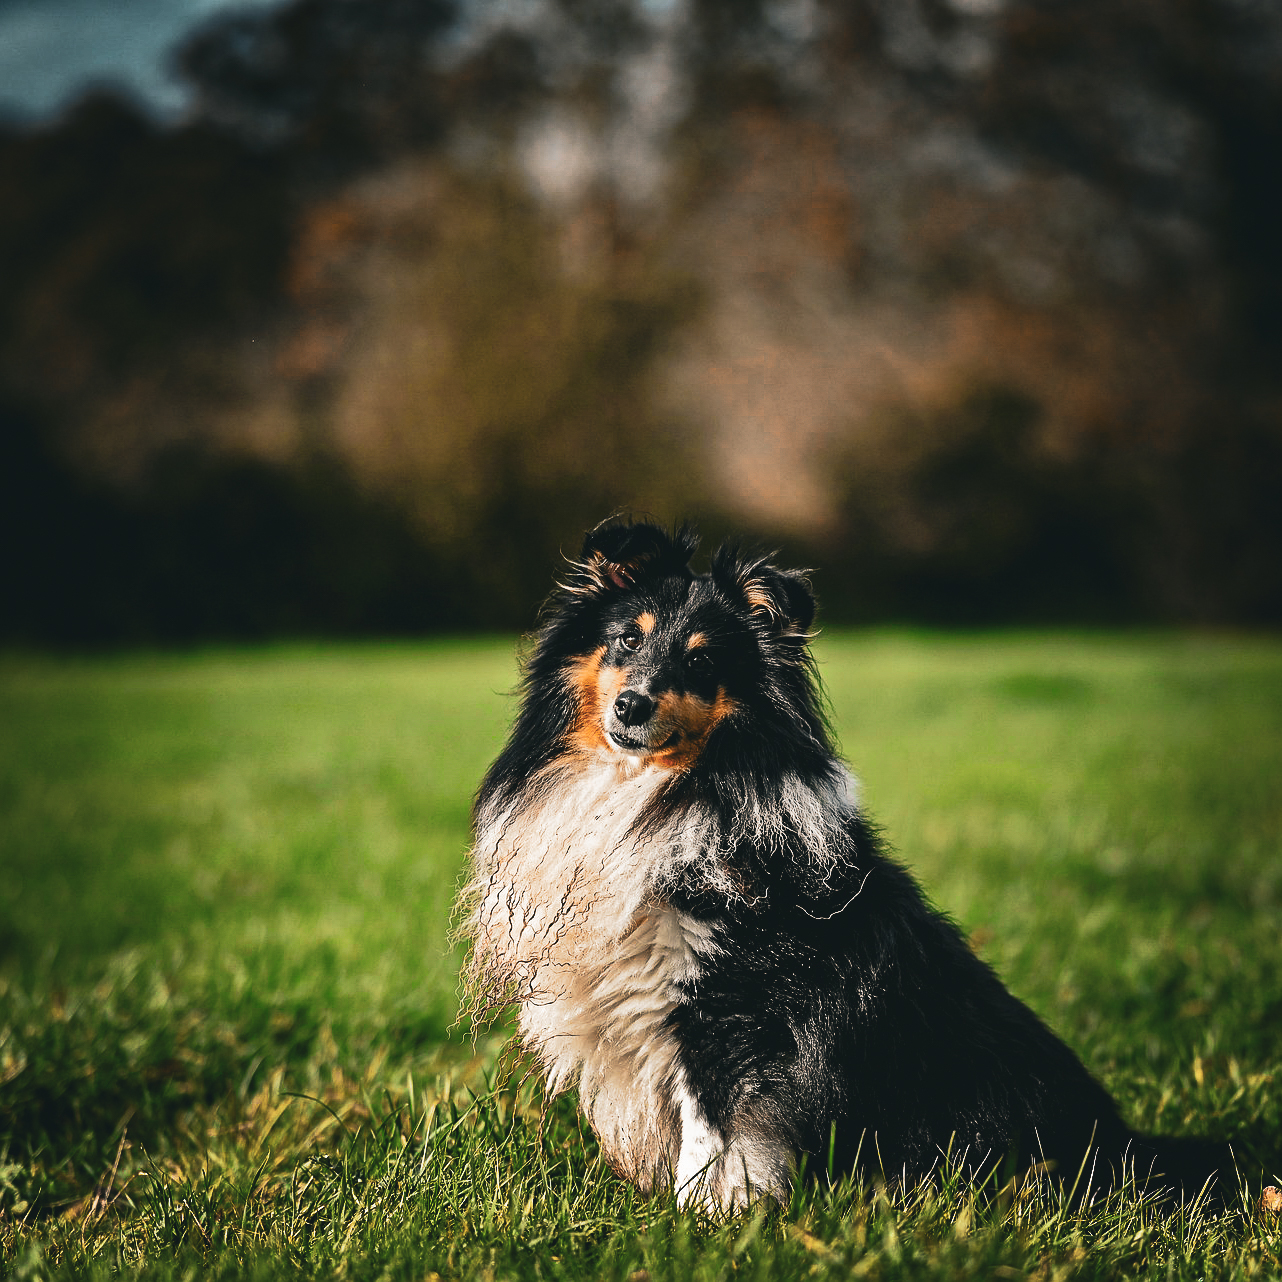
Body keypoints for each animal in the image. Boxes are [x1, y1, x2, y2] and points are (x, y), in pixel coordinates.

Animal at [458, 515, 1230, 1205]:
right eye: (626, 638)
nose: (630, 706)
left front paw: (699, 1225)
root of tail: (1130, 1147)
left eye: (703, 660)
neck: (644, 791)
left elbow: (712, 1137)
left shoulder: (727, 1006)